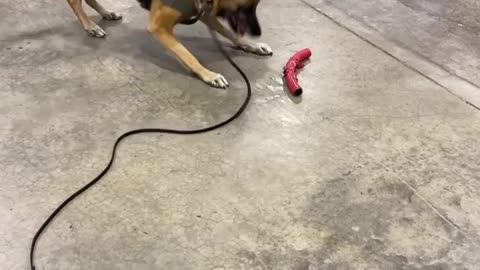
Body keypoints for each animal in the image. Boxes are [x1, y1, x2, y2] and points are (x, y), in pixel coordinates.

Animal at [65, 0, 272, 88]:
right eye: (246, 7)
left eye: (255, 6)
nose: (258, 32)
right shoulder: (159, 27)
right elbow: (187, 54)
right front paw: (208, 74)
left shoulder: (204, 12)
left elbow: (230, 33)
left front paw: (251, 45)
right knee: (74, 1)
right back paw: (90, 26)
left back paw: (106, 13)